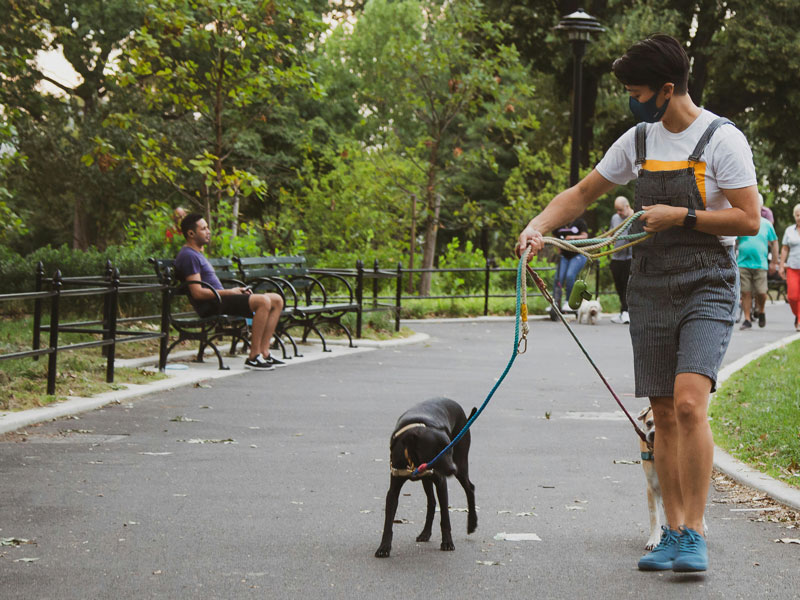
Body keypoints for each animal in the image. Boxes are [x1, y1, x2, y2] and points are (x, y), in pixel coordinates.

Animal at [374, 398, 476, 556]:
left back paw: (472, 523)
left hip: (461, 465)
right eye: (435, 452)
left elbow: (445, 518)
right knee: (432, 502)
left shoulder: (441, 483)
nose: (453, 469)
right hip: (427, 480)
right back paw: (425, 533)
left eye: (450, 450)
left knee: (470, 488)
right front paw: (384, 547)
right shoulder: (393, 490)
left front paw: (447, 542)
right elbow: (388, 521)